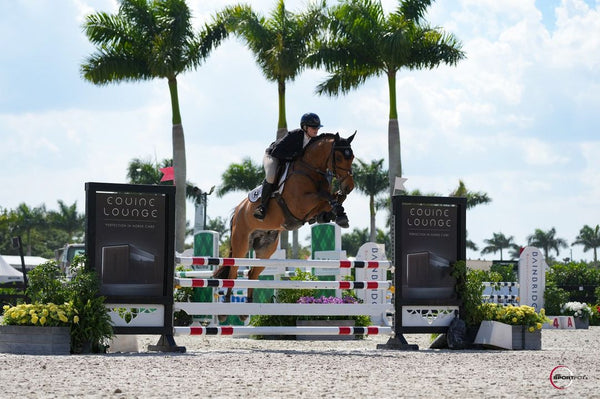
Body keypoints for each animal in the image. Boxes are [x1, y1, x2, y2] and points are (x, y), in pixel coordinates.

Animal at [213, 133, 356, 320]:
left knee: (252, 273)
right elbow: (324, 196)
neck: (310, 169)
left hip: (266, 249)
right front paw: (338, 211)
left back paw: (246, 311)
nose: (349, 186)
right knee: (233, 271)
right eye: (339, 157)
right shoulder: (300, 204)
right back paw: (225, 310)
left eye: (352, 157)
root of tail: (238, 210)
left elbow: (334, 199)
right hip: (241, 244)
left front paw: (339, 215)